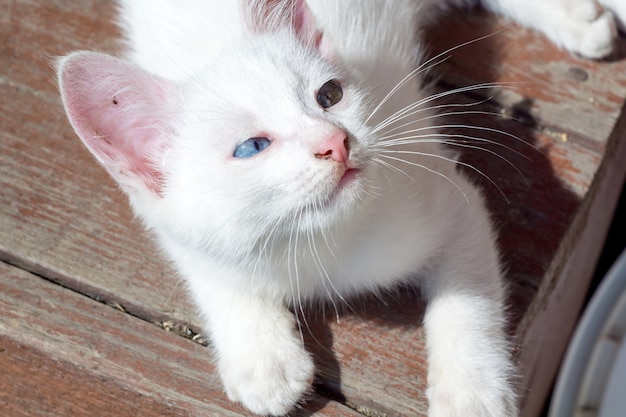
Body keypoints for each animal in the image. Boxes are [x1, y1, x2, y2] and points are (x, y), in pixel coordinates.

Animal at [56, 0, 620, 416]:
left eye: (329, 95)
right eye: (252, 147)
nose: (335, 141)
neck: (322, 241)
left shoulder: (449, 200)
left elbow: (467, 304)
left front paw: (470, 392)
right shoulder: (175, 223)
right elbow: (207, 268)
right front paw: (262, 358)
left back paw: (582, 19)